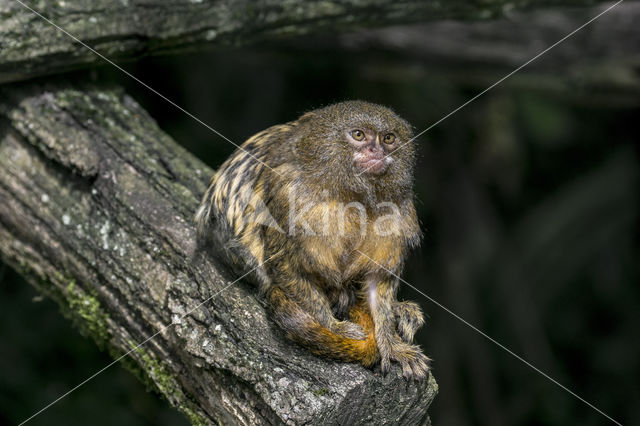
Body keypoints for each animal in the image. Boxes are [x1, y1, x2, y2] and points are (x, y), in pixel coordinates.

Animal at [195, 100, 430, 380]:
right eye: (358, 135)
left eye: (388, 138)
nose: (377, 151)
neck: (351, 199)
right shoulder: (287, 199)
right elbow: (288, 267)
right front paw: (332, 325)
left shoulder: (398, 217)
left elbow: (377, 285)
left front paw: (391, 342)